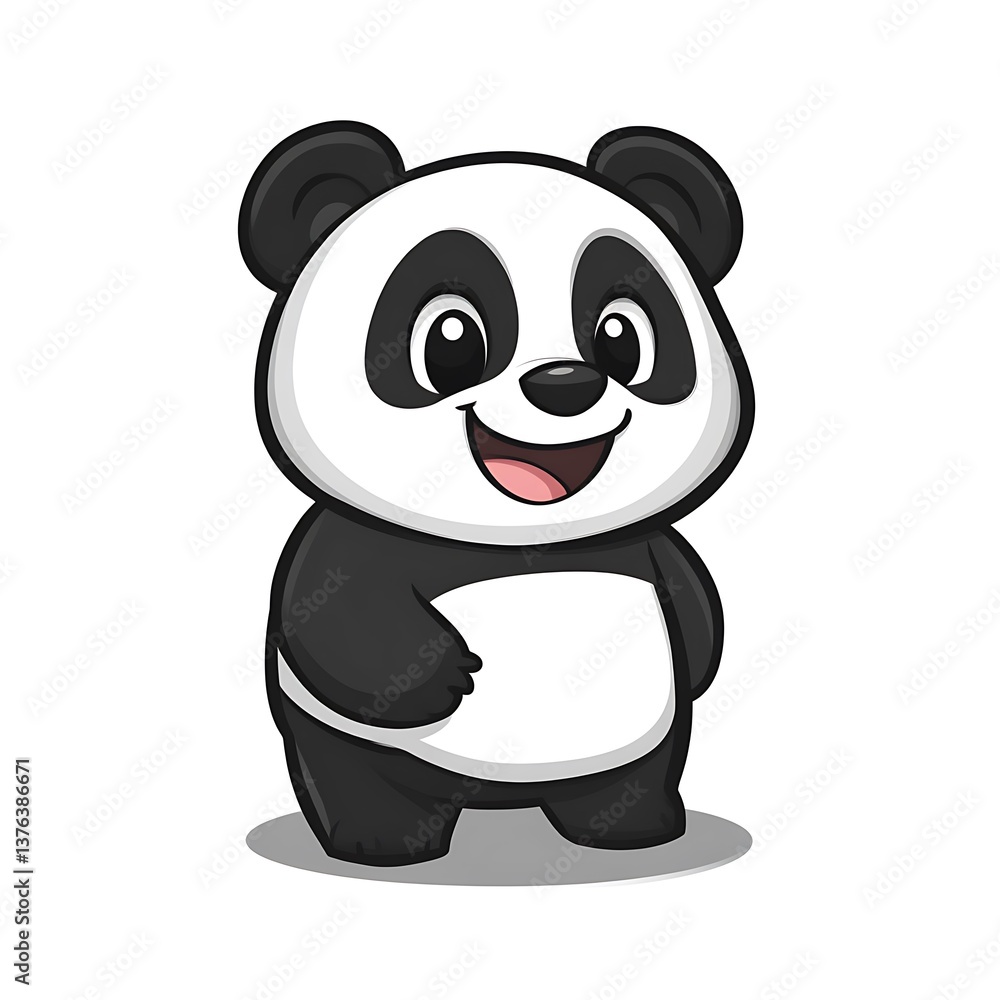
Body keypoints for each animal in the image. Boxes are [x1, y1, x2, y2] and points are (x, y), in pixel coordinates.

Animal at [238, 121, 754, 866]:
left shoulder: (641, 548)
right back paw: (379, 840)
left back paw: (632, 828)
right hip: (359, 749)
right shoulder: (353, 543)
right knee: (355, 775)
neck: (523, 541)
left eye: (621, 337)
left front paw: (701, 651)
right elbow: (335, 610)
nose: (567, 383)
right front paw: (444, 675)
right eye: (451, 339)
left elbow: (684, 593)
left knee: (631, 776)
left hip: (632, 744)